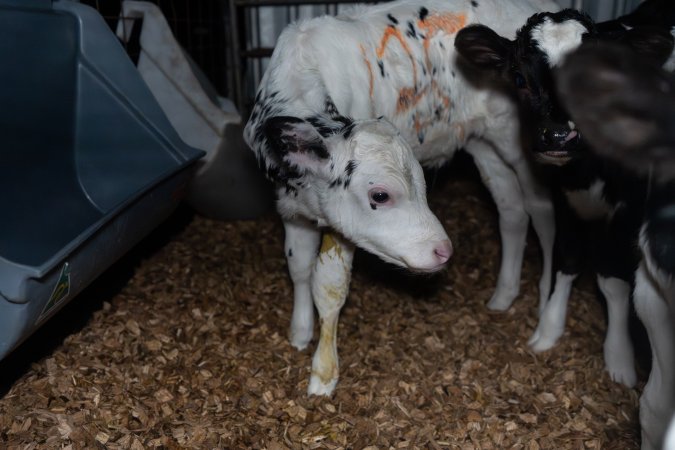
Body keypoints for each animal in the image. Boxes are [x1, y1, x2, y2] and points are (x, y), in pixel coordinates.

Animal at [244, 0, 561, 396]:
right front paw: (299, 332)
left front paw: (323, 374)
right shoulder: (290, 207)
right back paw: (503, 296)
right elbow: (298, 267)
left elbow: (329, 286)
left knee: (543, 211)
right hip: (483, 144)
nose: (444, 251)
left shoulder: (341, 228)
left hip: (522, 144)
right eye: (380, 195)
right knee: (512, 212)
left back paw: (545, 307)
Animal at [454, 6, 674, 389]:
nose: (558, 136)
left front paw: (619, 357)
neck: (587, 173)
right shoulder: (561, 196)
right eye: (519, 78)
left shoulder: (629, 208)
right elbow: (567, 260)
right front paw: (548, 328)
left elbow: (610, 277)